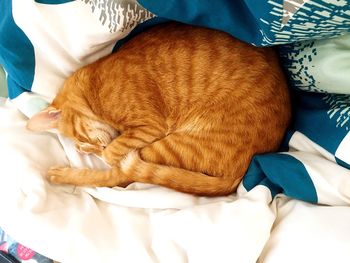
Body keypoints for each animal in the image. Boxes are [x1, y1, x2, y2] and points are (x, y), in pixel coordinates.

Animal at [26, 22, 292, 196]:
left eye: (81, 138)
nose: (87, 146)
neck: (93, 82)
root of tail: (241, 175)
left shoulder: (149, 126)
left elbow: (113, 152)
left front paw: (101, 150)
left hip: (169, 145)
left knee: (120, 175)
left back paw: (62, 174)